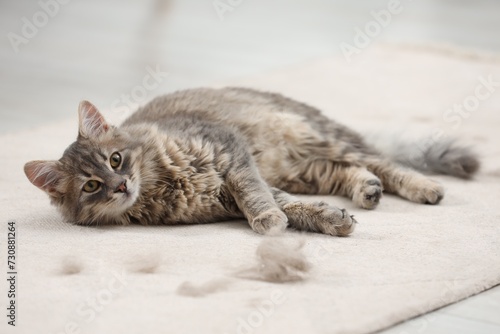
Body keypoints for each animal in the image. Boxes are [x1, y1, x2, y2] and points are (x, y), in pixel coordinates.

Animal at [24, 87, 480, 236]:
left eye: (116, 159)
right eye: (91, 186)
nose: (120, 185)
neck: (161, 182)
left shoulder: (232, 155)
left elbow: (257, 196)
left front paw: (270, 221)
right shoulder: (227, 193)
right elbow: (289, 207)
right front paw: (328, 219)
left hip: (314, 139)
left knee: (382, 161)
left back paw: (424, 187)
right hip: (304, 169)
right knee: (350, 172)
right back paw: (365, 191)